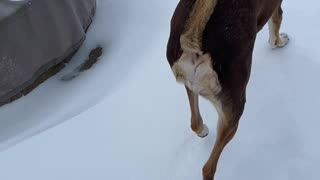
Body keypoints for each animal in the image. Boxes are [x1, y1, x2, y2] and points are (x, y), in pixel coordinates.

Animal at [166, 0, 288, 180]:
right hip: (233, 111)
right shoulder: (275, 7)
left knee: (195, 122)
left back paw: (202, 130)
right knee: (208, 168)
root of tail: (191, 44)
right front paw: (280, 42)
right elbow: (276, 24)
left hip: (189, 85)